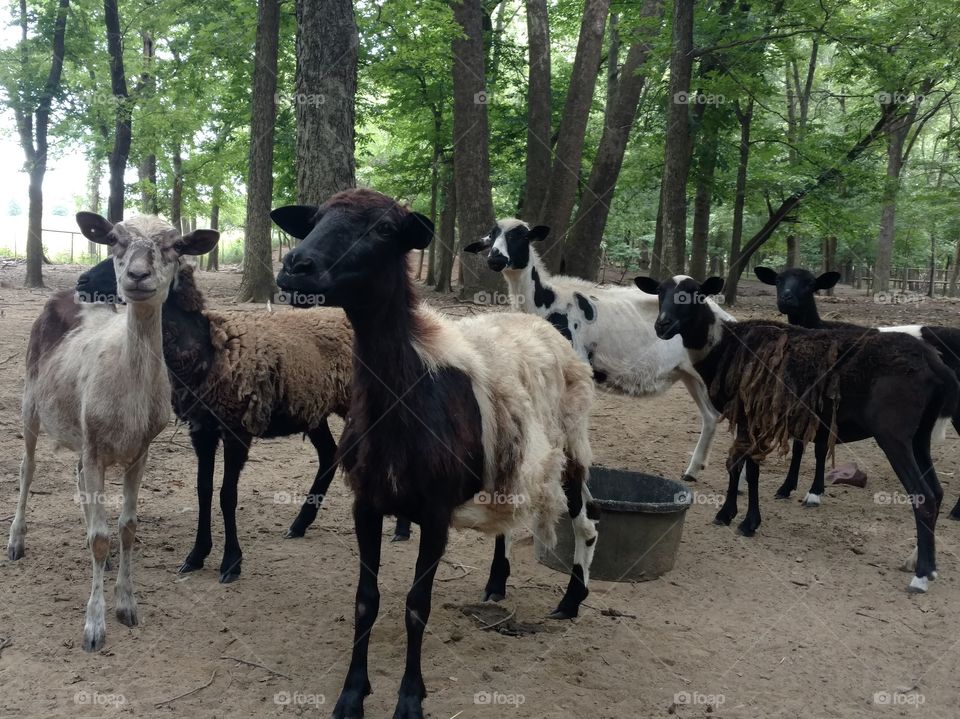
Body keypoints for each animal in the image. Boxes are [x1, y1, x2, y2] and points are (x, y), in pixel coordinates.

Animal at [8, 212, 218, 651]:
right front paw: (94, 626)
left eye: (175, 245)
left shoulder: (140, 450)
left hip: (81, 431)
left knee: (76, 479)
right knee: (27, 468)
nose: (138, 275)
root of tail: (62, 296)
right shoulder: (94, 445)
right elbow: (101, 538)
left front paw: (127, 606)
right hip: (31, 400)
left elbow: (126, 528)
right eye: (115, 240)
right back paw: (16, 541)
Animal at [74, 258, 411, 583]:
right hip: (314, 408)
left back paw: (402, 529)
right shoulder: (202, 428)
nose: (81, 282)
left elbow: (227, 495)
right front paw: (196, 555)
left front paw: (230, 563)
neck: (209, 347)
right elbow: (204, 490)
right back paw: (299, 524)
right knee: (329, 454)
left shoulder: (237, 427)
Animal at [273, 189, 597, 719]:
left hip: (571, 442)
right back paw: (496, 583)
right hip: (510, 460)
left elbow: (415, 606)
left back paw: (572, 601)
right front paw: (352, 694)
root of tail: (535, 321)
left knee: (586, 524)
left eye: (385, 229)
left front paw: (409, 698)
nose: (296, 266)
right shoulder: (366, 503)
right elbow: (366, 599)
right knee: (507, 522)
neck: (405, 395)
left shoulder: (436, 511)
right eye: (314, 220)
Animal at [464, 219, 732, 482]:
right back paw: (692, 471)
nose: (496, 258)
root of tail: (723, 314)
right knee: (711, 416)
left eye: (521, 236)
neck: (547, 300)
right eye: (492, 236)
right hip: (690, 374)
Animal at [755, 265, 960, 516]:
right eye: (778, 280)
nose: (786, 298)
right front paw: (787, 488)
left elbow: (818, 447)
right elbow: (800, 446)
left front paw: (814, 492)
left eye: (810, 284)